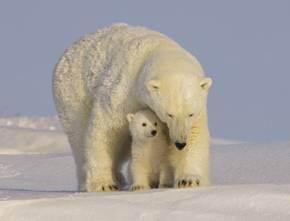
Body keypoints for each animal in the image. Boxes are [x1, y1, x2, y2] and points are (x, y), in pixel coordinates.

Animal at [53, 23, 213, 191]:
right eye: (169, 114)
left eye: (190, 114)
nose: (180, 143)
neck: (156, 49)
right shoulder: (123, 91)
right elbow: (106, 130)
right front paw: (104, 184)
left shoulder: (199, 108)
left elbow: (195, 133)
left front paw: (189, 180)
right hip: (72, 93)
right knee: (78, 136)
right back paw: (89, 182)